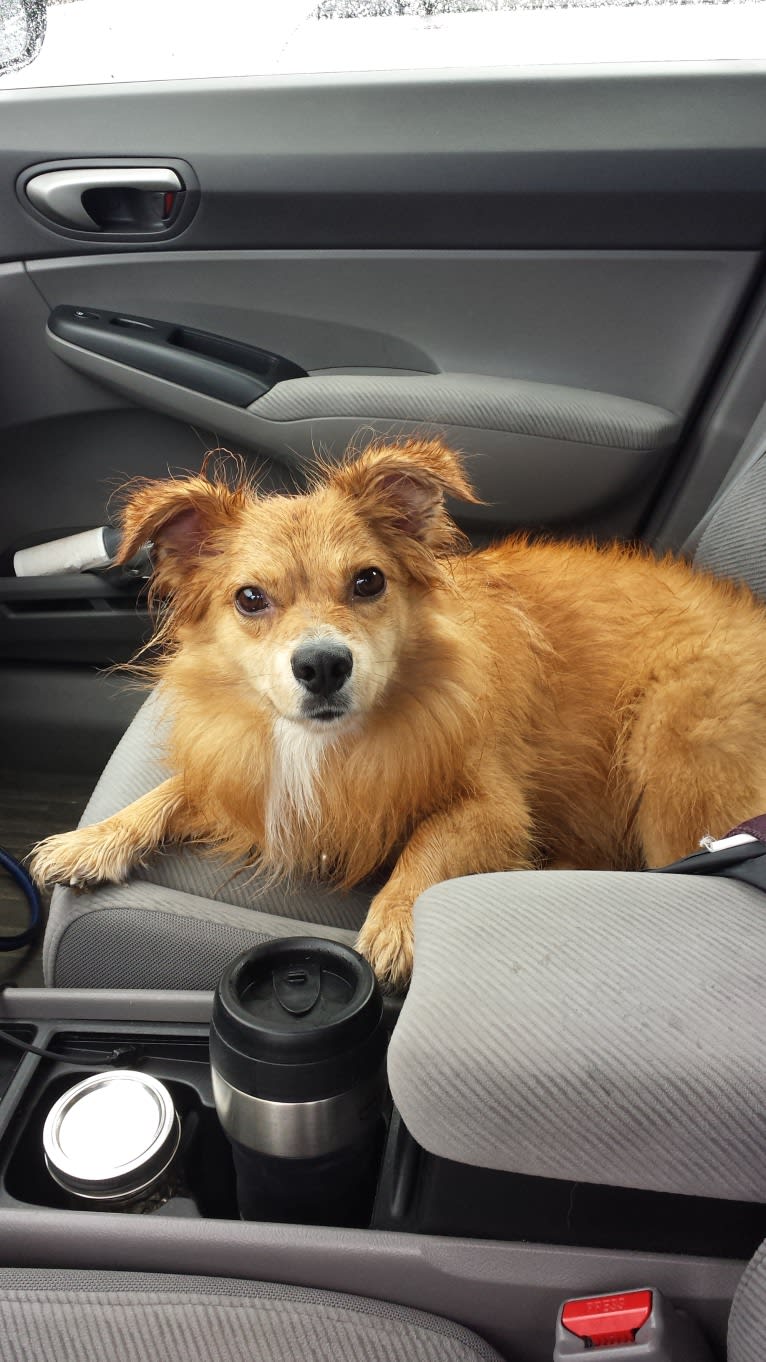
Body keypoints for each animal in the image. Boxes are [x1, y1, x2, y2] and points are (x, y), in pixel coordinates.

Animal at [31, 441, 766, 986]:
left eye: (369, 581)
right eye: (249, 598)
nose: (323, 665)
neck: (329, 743)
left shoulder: (493, 806)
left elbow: (428, 841)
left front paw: (396, 918)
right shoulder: (249, 774)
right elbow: (177, 788)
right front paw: (96, 838)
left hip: (673, 755)